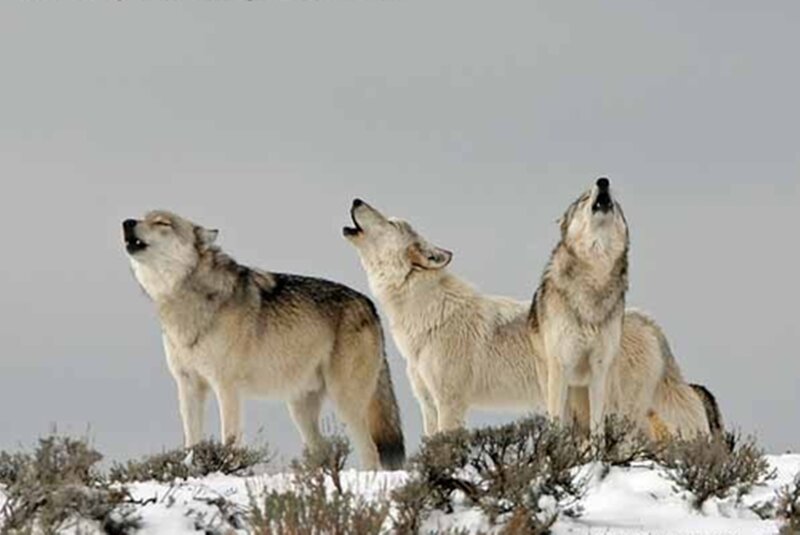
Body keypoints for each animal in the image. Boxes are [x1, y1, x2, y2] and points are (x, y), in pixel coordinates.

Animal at [122, 210, 405, 470]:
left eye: (162, 223)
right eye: (143, 217)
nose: (127, 222)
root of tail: (369, 305)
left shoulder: (227, 387)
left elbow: (230, 440)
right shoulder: (188, 385)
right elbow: (191, 443)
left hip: (346, 401)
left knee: (370, 451)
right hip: (300, 409)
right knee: (323, 450)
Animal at [530, 178, 629, 435]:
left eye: (616, 203)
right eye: (584, 198)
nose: (603, 181)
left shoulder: (599, 369)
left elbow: (597, 427)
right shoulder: (561, 366)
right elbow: (557, 424)